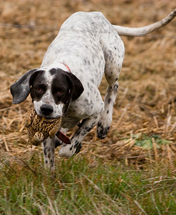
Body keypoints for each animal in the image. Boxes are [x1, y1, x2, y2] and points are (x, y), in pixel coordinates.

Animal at [10, 9, 175, 170]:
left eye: (60, 91)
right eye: (38, 88)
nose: (46, 109)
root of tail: (96, 14)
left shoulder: (95, 111)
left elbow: (69, 148)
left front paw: (73, 146)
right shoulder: (49, 132)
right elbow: (49, 162)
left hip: (112, 63)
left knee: (113, 87)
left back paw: (105, 122)